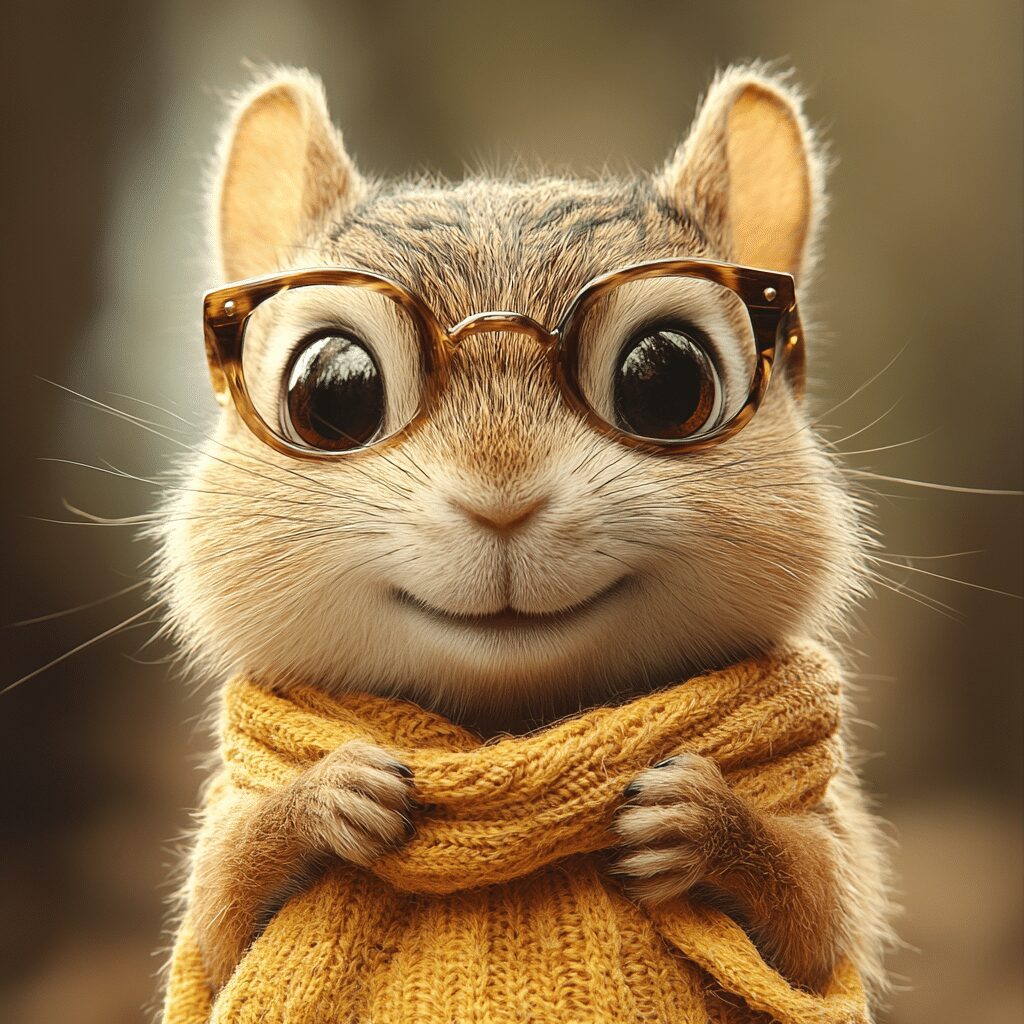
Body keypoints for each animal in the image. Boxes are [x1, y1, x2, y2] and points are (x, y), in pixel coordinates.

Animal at [157, 63, 893, 1011]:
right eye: (331, 393)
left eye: (667, 380)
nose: (501, 503)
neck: (507, 728)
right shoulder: (219, 884)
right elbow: (220, 905)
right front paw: (330, 793)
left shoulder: (831, 865)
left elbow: (817, 913)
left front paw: (703, 819)